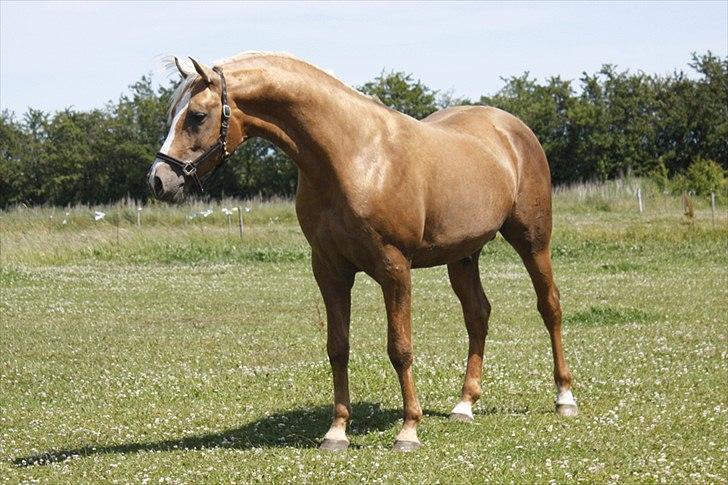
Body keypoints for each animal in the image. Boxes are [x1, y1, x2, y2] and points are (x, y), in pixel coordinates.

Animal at [146, 52, 580, 450]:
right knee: (478, 315)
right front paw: (337, 431)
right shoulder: (329, 270)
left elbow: (400, 348)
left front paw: (409, 430)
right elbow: (337, 348)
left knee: (550, 307)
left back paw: (564, 398)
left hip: (532, 240)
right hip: (463, 255)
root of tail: (513, 128)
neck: (353, 157)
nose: (158, 180)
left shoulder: (394, 268)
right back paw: (464, 405)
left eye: (196, 116)